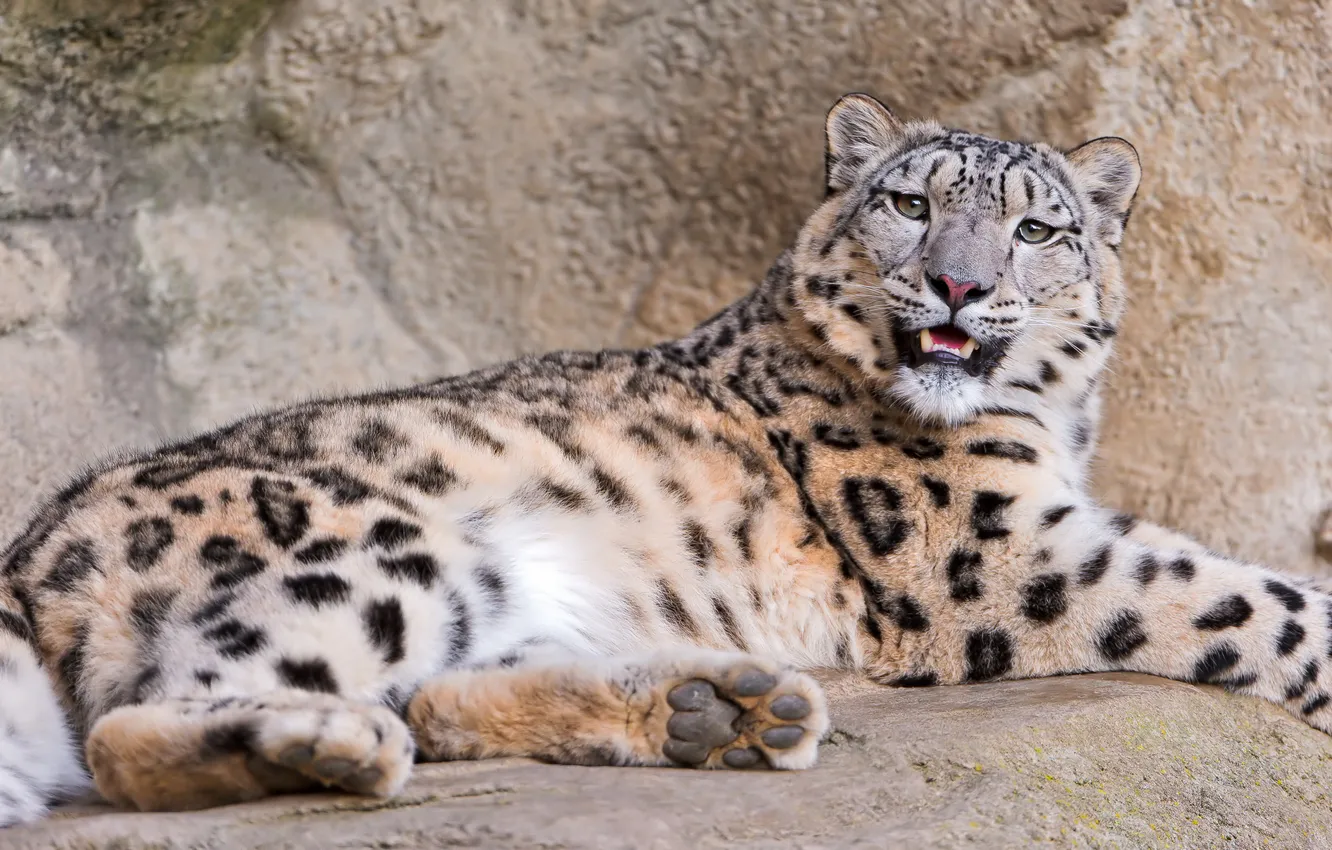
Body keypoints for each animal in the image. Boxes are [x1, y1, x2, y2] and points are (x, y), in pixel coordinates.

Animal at [2, 92, 1328, 826]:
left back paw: (720, 710)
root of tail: (35, 544)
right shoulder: (998, 553)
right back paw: (328, 743)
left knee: (431, 691)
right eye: (909, 204)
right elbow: (1239, 596)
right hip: (373, 550)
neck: (1054, 425)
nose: (958, 283)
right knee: (141, 728)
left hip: (481, 591)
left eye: (1038, 227)